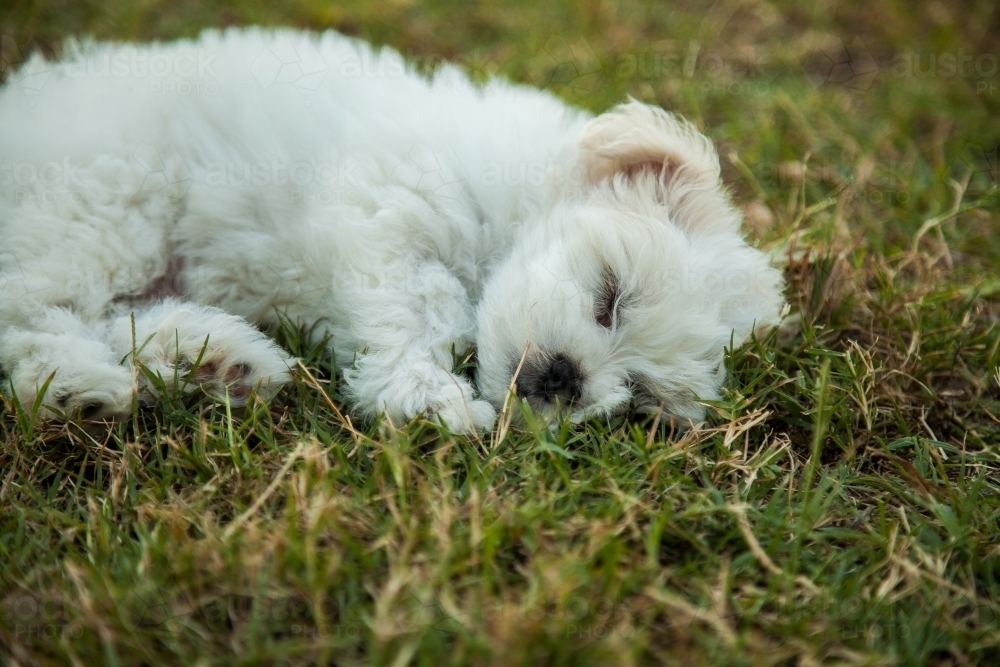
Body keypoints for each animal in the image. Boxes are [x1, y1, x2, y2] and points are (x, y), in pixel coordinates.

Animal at [0, 28, 780, 434]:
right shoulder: (388, 208)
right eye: (611, 295)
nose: (567, 379)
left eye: (642, 397)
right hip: (106, 202)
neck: (512, 200)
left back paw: (213, 358)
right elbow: (418, 305)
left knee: (111, 312)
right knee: (32, 311)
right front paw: (427, 395)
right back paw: (76, 385)